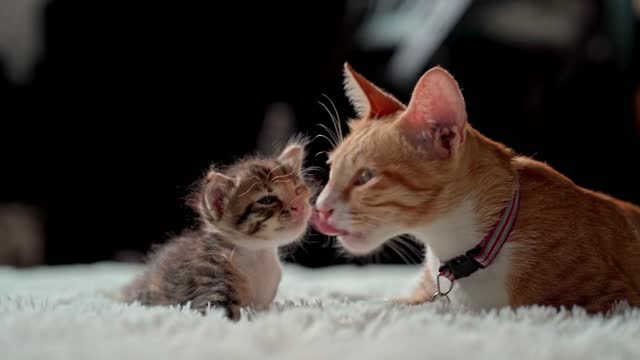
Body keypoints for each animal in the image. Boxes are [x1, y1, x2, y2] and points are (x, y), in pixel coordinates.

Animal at [122, 139, 312, 320]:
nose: (300, 206)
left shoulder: (263, 304)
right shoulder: (211, 291)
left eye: (298, 189)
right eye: (267, 200)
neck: (257, 253)